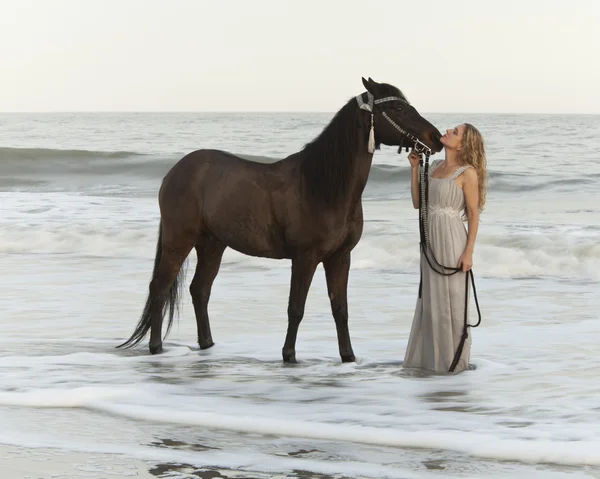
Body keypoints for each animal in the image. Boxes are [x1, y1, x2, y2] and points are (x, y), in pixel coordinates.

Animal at [117, 78, 442, 364]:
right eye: (397, 109)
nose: (436, 139)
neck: (323, 186)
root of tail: (174, 172)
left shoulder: (340, 257)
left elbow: (340, 308)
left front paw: (348, 357)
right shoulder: (305, 257)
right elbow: (296, 308)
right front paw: (289, 356)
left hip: (212, 245)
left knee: (199, 290)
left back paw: (206, 344)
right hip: (178, 241)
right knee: (160, 286)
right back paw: (156, 347)